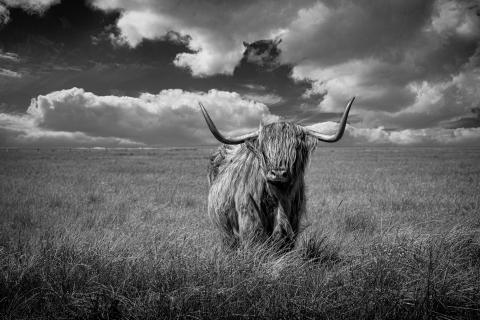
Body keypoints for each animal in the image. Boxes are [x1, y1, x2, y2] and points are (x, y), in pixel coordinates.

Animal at [198, 99, 352, 249]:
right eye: (263, 148)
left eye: (296, 147)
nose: (278, 173)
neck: (279, 197)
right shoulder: (250, 220)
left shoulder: (293, 222)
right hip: (224, 230)